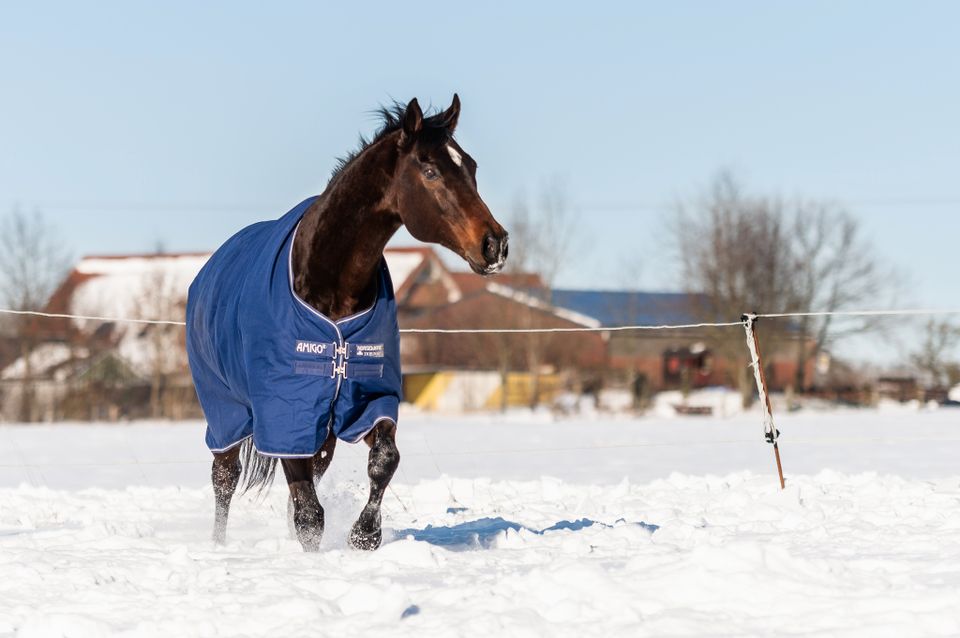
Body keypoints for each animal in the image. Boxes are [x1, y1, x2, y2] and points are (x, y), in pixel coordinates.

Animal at [183, 96, 506, 556]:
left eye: (472, 168)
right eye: (429, 170)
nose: (495, 244)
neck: (330, 283)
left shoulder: (366, 399)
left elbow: (384, 461)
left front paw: (364, 535)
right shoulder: (285, 413)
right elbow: (308, 514)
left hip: (324, 431)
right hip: (225, 410)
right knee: (224, 480)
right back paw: (217, 545)